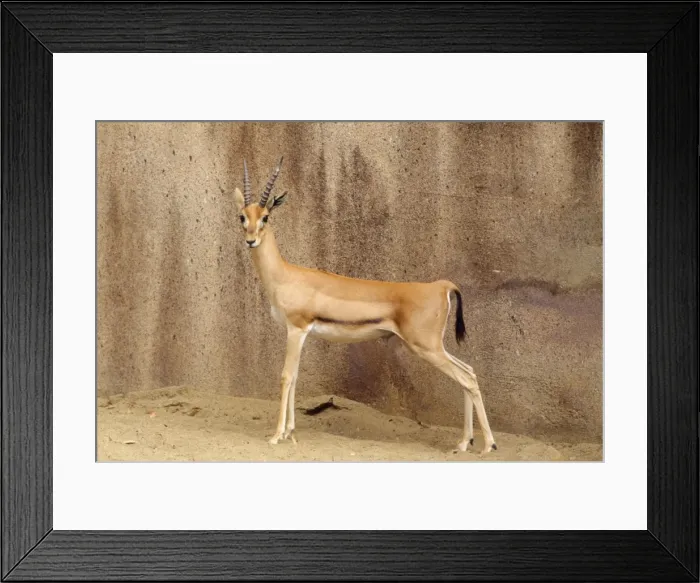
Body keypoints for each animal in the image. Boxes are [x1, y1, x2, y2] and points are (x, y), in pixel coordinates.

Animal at [233, 157, 497, 454]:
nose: (250, 240)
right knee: (469, 371)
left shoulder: (296, 329)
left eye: (265, 216)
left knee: (467, 378)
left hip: (427, 347)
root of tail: (441, 286)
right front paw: (290, 432)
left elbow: (286, 376)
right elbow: (297, 376)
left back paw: (488, 445)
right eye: (242, 216)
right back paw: (464, 442)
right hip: (433, 347)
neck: (285, 275)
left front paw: (277, 435)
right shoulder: (300, 334)